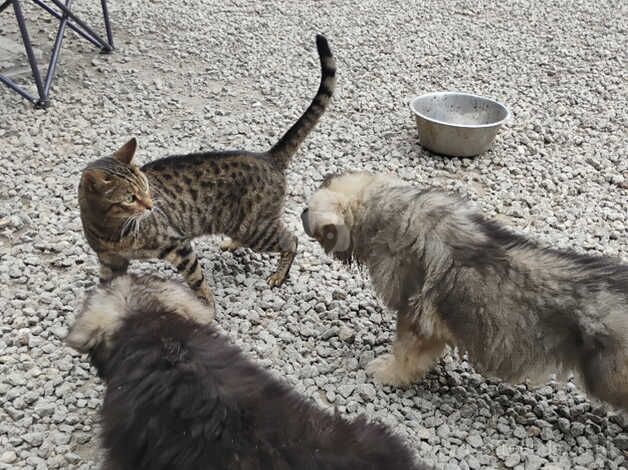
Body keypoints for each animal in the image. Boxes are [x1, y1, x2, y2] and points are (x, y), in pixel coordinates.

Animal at [78, 35, 336, 314]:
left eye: (145, 188)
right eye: (129, 198)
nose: (150, 206)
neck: (111, 230)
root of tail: (268, 156)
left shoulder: (177, 245)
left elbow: (196, 279)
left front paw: (207, 305)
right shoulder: (110, 261)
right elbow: (106, 286)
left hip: (256, 228)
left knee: (291, 240)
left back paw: (279, 274)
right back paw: (233, 243)